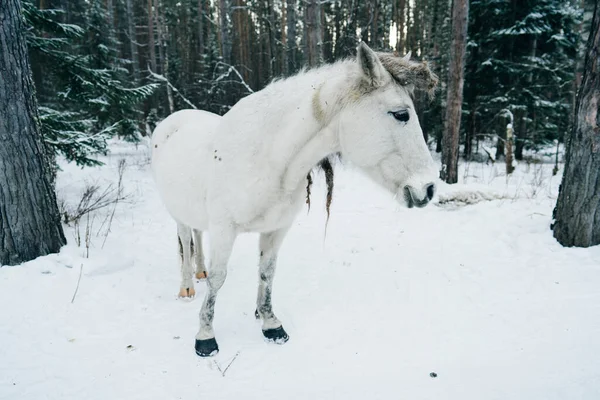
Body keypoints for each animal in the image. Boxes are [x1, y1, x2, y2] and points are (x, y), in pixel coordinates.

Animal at [152, 43, 438, 356]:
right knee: (186, 241)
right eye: (400, 114)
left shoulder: (277, 228)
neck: (267, 157)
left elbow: (267, 272)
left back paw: (199, 272)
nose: (429, 188)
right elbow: (218, 277)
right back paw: (187, 287)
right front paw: (205, 335)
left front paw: (269, 323)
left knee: (197, 237)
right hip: (178, 214)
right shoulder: (224, 229)